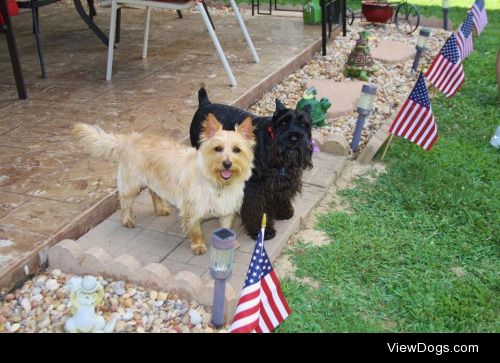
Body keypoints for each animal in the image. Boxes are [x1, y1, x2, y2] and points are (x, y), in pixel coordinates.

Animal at [73, 115, 254, 255]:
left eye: (237, 150)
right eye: (218, 148)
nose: (227, 164)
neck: (217, 183)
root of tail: (131, 138)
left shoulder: (227, 209)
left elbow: (227, 228)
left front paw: (231, 243)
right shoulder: (192, 211)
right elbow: (196, 231)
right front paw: (198, 245)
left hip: (155, 180)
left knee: (154, 192)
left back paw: (160, 208)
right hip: (132, 185)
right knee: (125, 201)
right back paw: (127, 219)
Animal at [191, 88, 312, 240]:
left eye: (304, 124)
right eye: (283, 123)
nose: (294, 138)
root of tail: (205, 104)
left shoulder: (282, 180)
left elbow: (281, 195)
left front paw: (283, 211)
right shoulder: (255, 187)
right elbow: (257, 209)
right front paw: (263, 231)